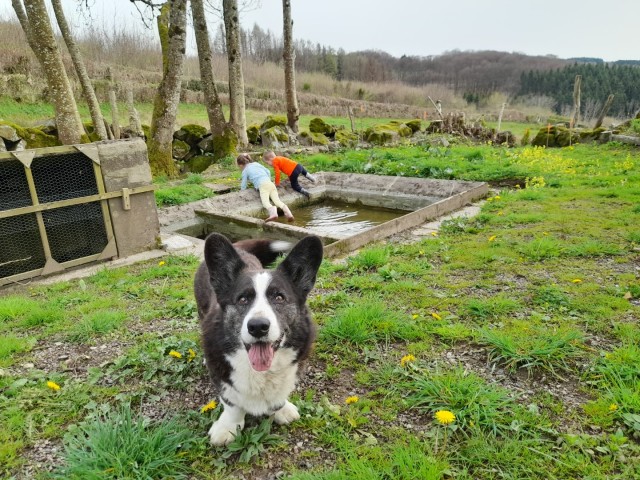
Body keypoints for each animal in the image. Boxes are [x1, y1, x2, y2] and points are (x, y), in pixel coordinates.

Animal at [194, 233, 323, 446]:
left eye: (279, 297)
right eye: (242, 299)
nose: (258, 326)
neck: (260, 372)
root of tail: (238, 246)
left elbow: (279, 395)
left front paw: (281, 409)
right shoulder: (223, 378)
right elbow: (231, 404)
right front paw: (228, 427)